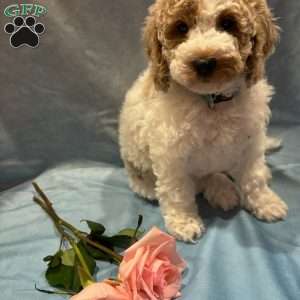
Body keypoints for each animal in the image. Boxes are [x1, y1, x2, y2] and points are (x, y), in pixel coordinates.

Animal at [118, 0, 288, 243]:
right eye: (181, 27)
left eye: (227, 23)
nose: (204, 62)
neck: (212, 101)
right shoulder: (171, 155)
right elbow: (177, 191)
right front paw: (184, 222)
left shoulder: (250, 141)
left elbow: (253, 177)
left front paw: (266, 203)